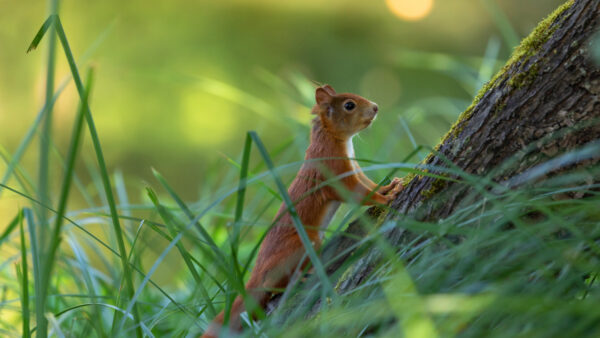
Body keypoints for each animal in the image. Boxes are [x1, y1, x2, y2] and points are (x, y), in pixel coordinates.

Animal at [202, 84, 404, 338]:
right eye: (349, 105)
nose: (376, 107)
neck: (333, 138)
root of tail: (257, 274)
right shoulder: (335, 173)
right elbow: (359, 193)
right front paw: (386, 198)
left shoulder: (355, 167)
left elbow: (369, 184)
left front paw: (389, 186)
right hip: (301, 244)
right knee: (272, 286)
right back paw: (298, 277)